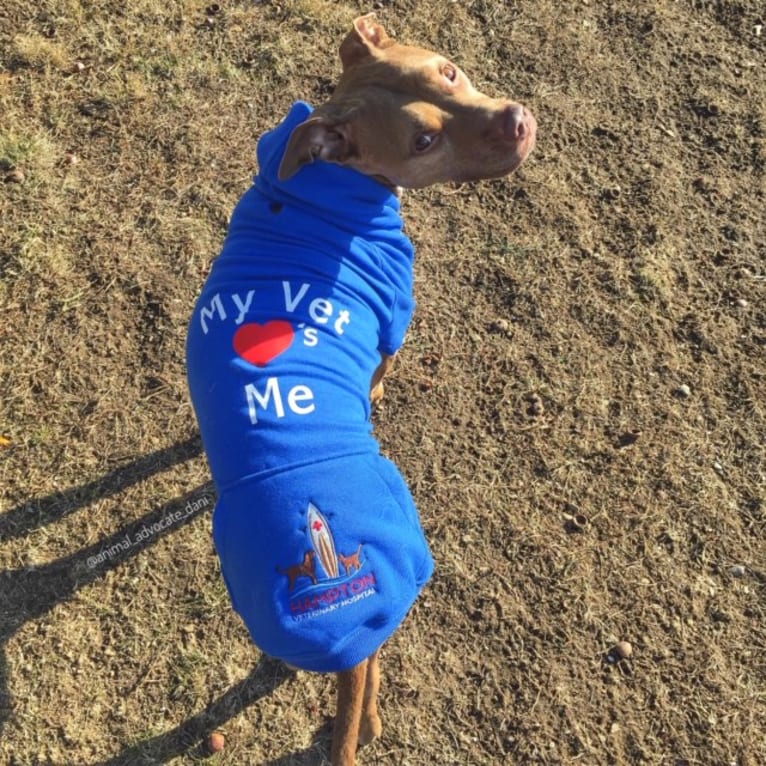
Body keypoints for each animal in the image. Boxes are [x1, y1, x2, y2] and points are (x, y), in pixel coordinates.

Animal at [188, 13, 536, 766]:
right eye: (423, 141)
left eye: (450, 70)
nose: (518, 120)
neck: (324, 183)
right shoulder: (391, 332)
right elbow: (380, 374)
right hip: (400, 561)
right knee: (373, 669)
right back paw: (370, 721)